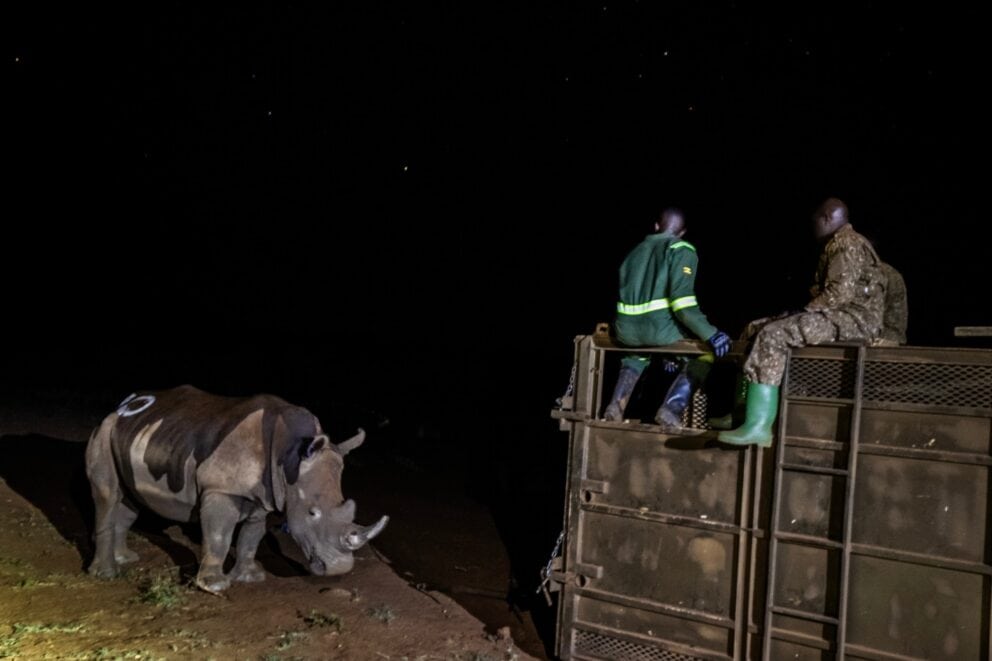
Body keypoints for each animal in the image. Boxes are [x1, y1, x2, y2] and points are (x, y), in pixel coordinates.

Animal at [85, 385, 388, 593]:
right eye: (312, 513)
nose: (339, 568)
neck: (290, 455)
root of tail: (123, 403)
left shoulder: (264, 495)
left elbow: (251, 536)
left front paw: (250, 577)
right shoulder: (221, 488)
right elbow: (219, 536)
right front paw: (215, 586)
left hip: (133, 434)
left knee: (129, 500)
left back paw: (125, 559)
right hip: (104, 429)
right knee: (107, 495)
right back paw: (106, 574)